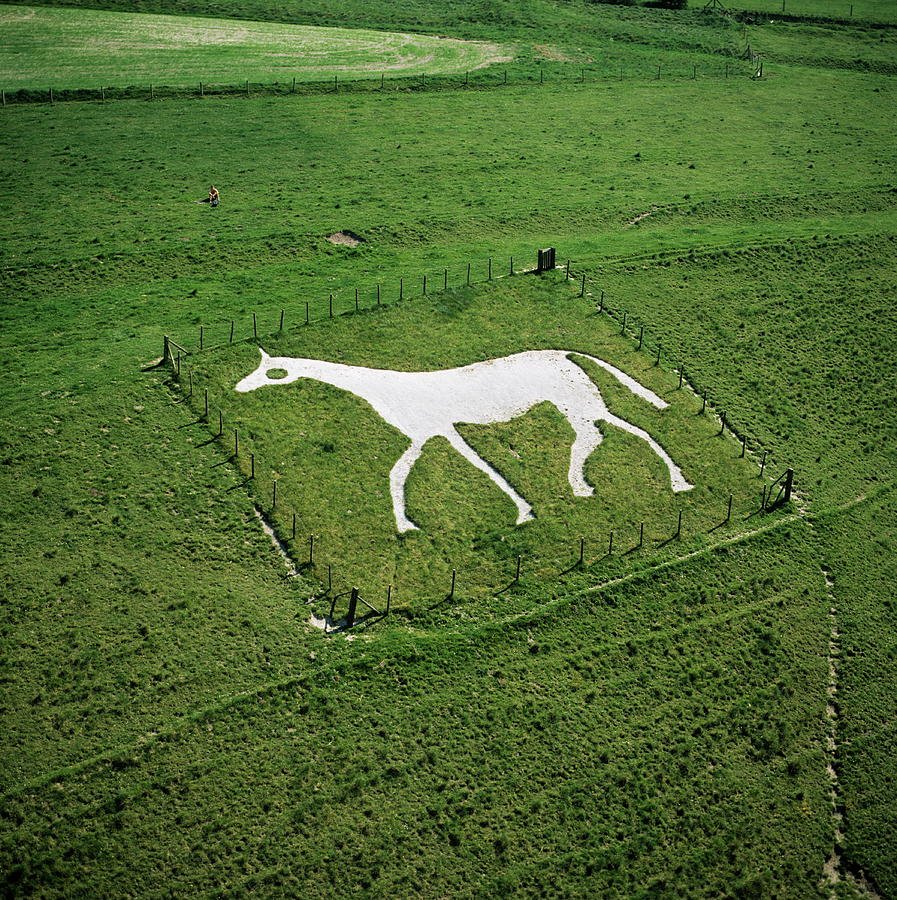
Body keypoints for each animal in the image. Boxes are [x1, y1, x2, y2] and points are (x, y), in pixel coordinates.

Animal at [235, 349, 692, 532]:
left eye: (271, 372)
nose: (238, 388)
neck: (389, 389)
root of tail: (565, 352)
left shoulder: (441, 430)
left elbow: (482, 468)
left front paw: (523, 513)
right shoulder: (427, 434)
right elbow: (397, 475)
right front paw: (406, 525)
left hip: (580, 402)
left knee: (635, 430)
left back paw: (677, 483)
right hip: (573, 405)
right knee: (596, 435)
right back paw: (581, 487)